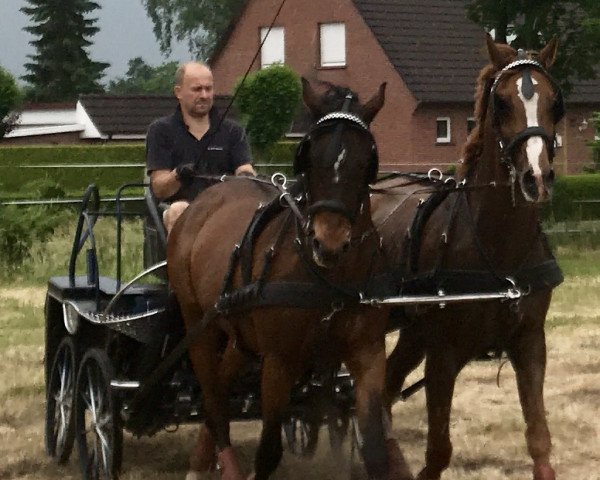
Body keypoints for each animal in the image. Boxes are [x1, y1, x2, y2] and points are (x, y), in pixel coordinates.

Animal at [169, 80, 410, 480]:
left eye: (367, 162)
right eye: (308, 158)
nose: (329, 242)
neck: (329, 280)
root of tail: (207, 196)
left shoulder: (367, 353)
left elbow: (375, 448)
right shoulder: (279, 362)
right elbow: (268, 450)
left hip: (240, 336)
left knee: (221, 386)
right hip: (198, 326)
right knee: (214, 400)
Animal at [372, 34, 564, 480]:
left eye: (554, 102)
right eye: (502, 103)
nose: (536, 178)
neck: (498, 250)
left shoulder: (530, 343)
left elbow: (539, 439)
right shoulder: (443, 355)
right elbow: (438, 451)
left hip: (413, 332)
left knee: (385, 389)